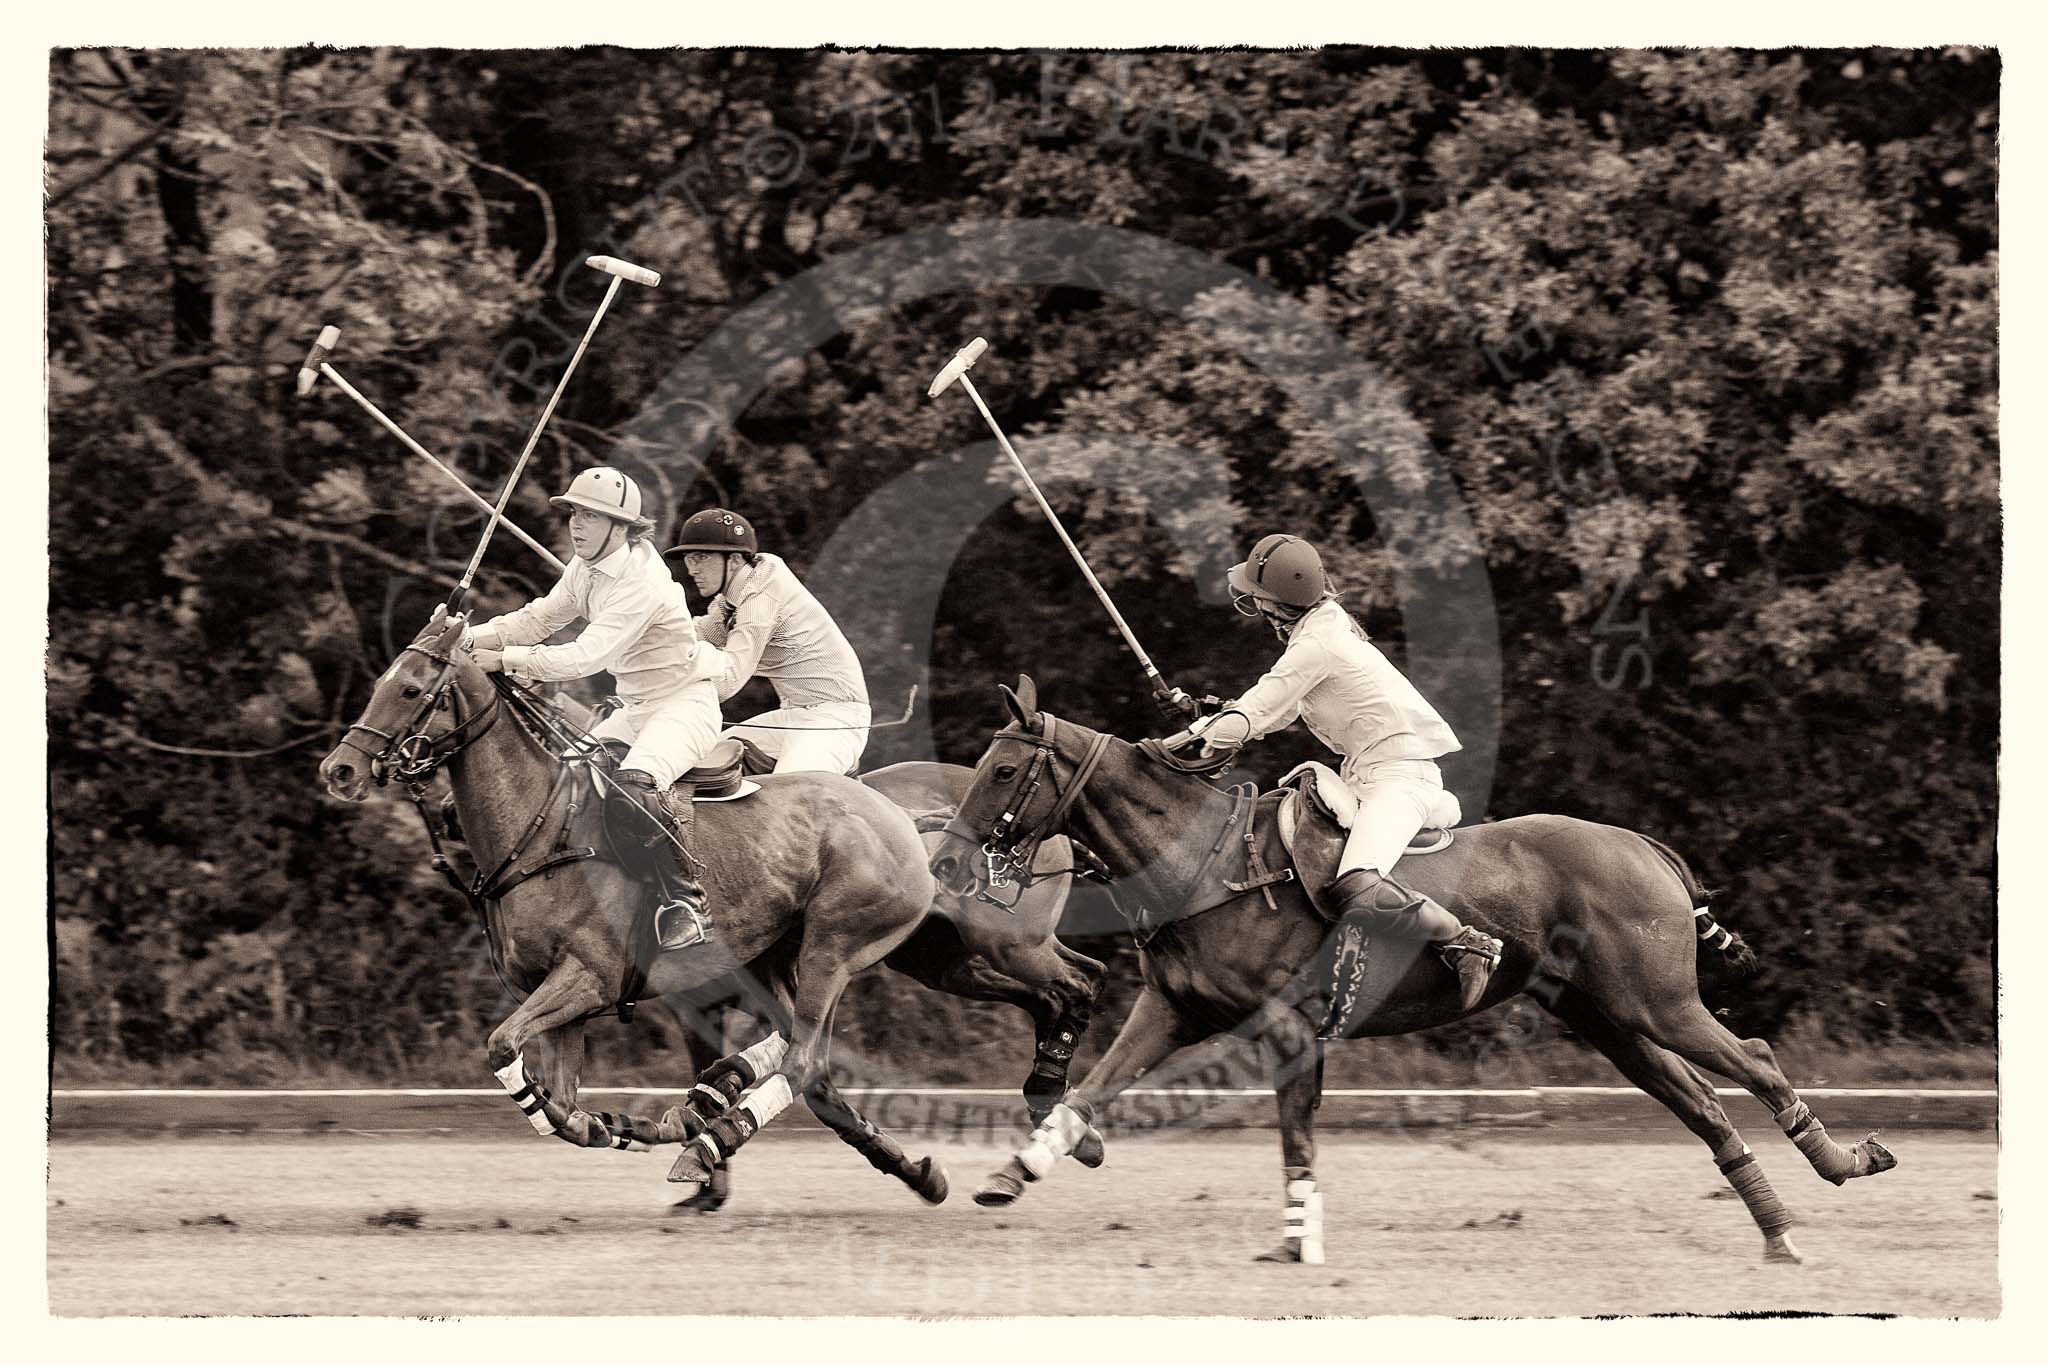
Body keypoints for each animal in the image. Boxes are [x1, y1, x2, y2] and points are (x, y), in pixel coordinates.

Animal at [925, 679, 1884, 1268]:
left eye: (1001, 768)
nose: (945, 865)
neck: (1201, 860)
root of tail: (1641, 844)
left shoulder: (1286, 1026)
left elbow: (1296, 1135)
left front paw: (1298, 1243)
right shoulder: (1170, 1010)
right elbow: (1094, 1088)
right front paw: (1011, 1173)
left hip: (1657, 1000)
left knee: (1755, 1057)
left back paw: (1841, 1163)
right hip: (1608, 1020)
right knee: (1702, 1104)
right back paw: (1781, 1230)